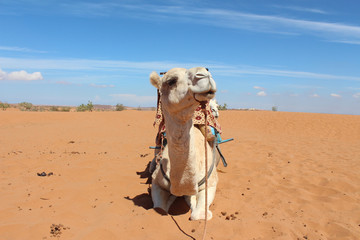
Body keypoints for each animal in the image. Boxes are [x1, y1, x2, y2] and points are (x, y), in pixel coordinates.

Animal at [148, 66, 218, 220]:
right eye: (171, 81)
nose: (205, 74)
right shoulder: (156, 182)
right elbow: (159, 209)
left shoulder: (211, 183)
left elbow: (198, 214)